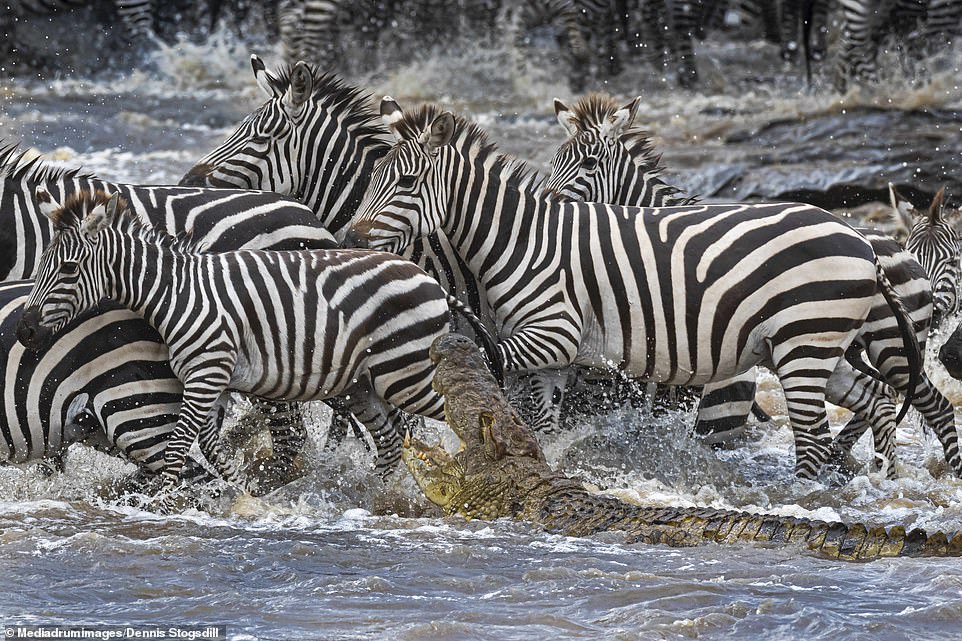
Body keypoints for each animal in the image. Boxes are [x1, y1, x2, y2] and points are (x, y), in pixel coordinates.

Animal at [17, 189, 498, 496]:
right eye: (40, 264)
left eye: (69, 268)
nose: (24, 332)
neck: (177, 293)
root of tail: (431, 281)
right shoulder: (208, 380)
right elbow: (209, 446)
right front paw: (243, 490)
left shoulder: (208, 373)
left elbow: (177, 446)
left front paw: (166, 503)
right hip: (364, 383)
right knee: (391, 440)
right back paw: (375, 495)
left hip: (407, 372)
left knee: (465, 410)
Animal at [343, 101, 955, 481]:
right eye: (372, 179)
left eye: (405, 182)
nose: (350, 238)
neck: (519, 239)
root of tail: (863, 242)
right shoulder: (556, 358)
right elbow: (543, 420)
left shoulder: (554, 334)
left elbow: (490, 359)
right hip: (822, 343)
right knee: (883, 399)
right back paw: (885, 480)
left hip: (810, 343)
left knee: (818, 432)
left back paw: (808, 495)